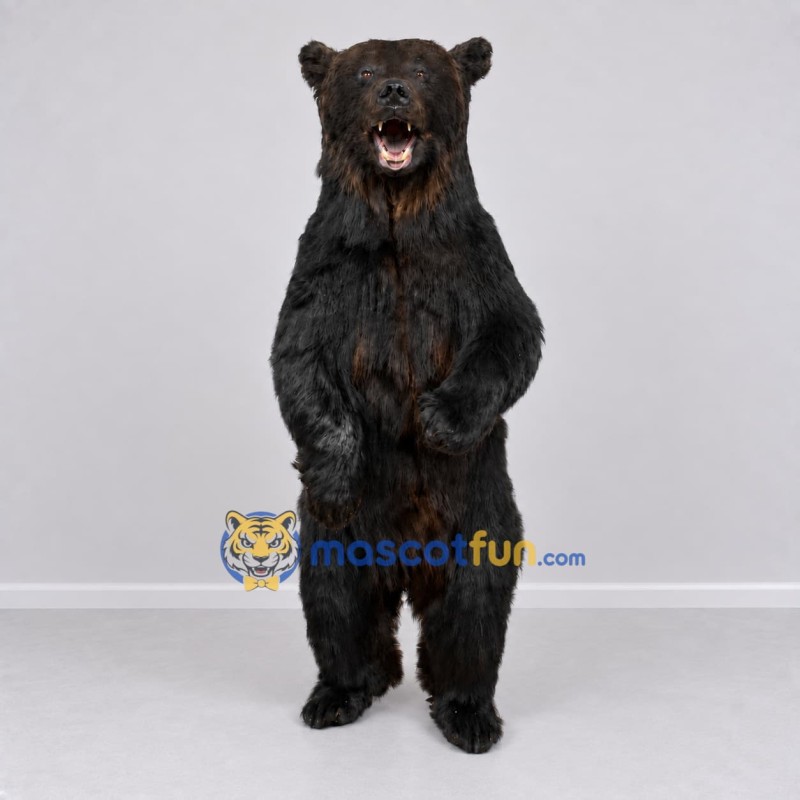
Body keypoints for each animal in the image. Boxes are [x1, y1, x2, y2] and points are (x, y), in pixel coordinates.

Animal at [270, 36, 544, 754]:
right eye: (364, 71)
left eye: (421, 69)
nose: (393, 91)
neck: (397, 218)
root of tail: (403, 565)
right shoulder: (326, 269)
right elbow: (298, 362)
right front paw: (335, 471)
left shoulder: (474, 260)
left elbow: (512, 335)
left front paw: (438, 419)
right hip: (336, 542)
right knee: (336, 604)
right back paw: (342, 692)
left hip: (478, 515)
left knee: (474, 610)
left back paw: (467, 712)